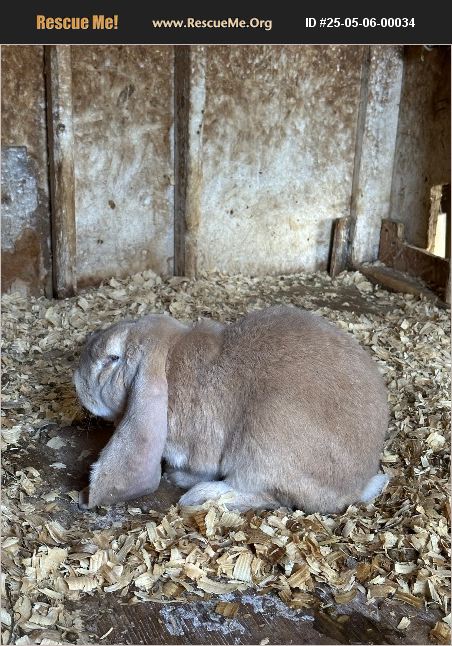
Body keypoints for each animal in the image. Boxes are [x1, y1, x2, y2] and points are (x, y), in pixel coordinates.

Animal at [74, 305, 389, 513]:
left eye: (113, 358)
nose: (75, 378)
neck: (170, 361)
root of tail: (356, 486)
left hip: (264, 444)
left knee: (267, 496)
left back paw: (198, 497)